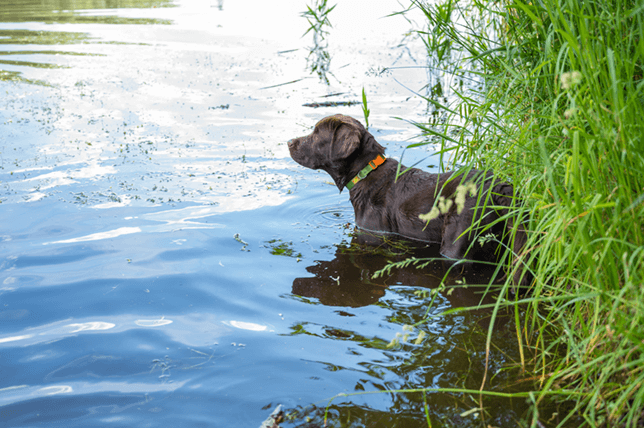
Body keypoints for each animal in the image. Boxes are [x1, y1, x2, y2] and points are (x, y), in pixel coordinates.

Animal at [290, 113, 532, 288]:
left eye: (315, 134)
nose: (289, 141)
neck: (366, 172)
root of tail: (499, 186)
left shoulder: (373, 231)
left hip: (456, 240)